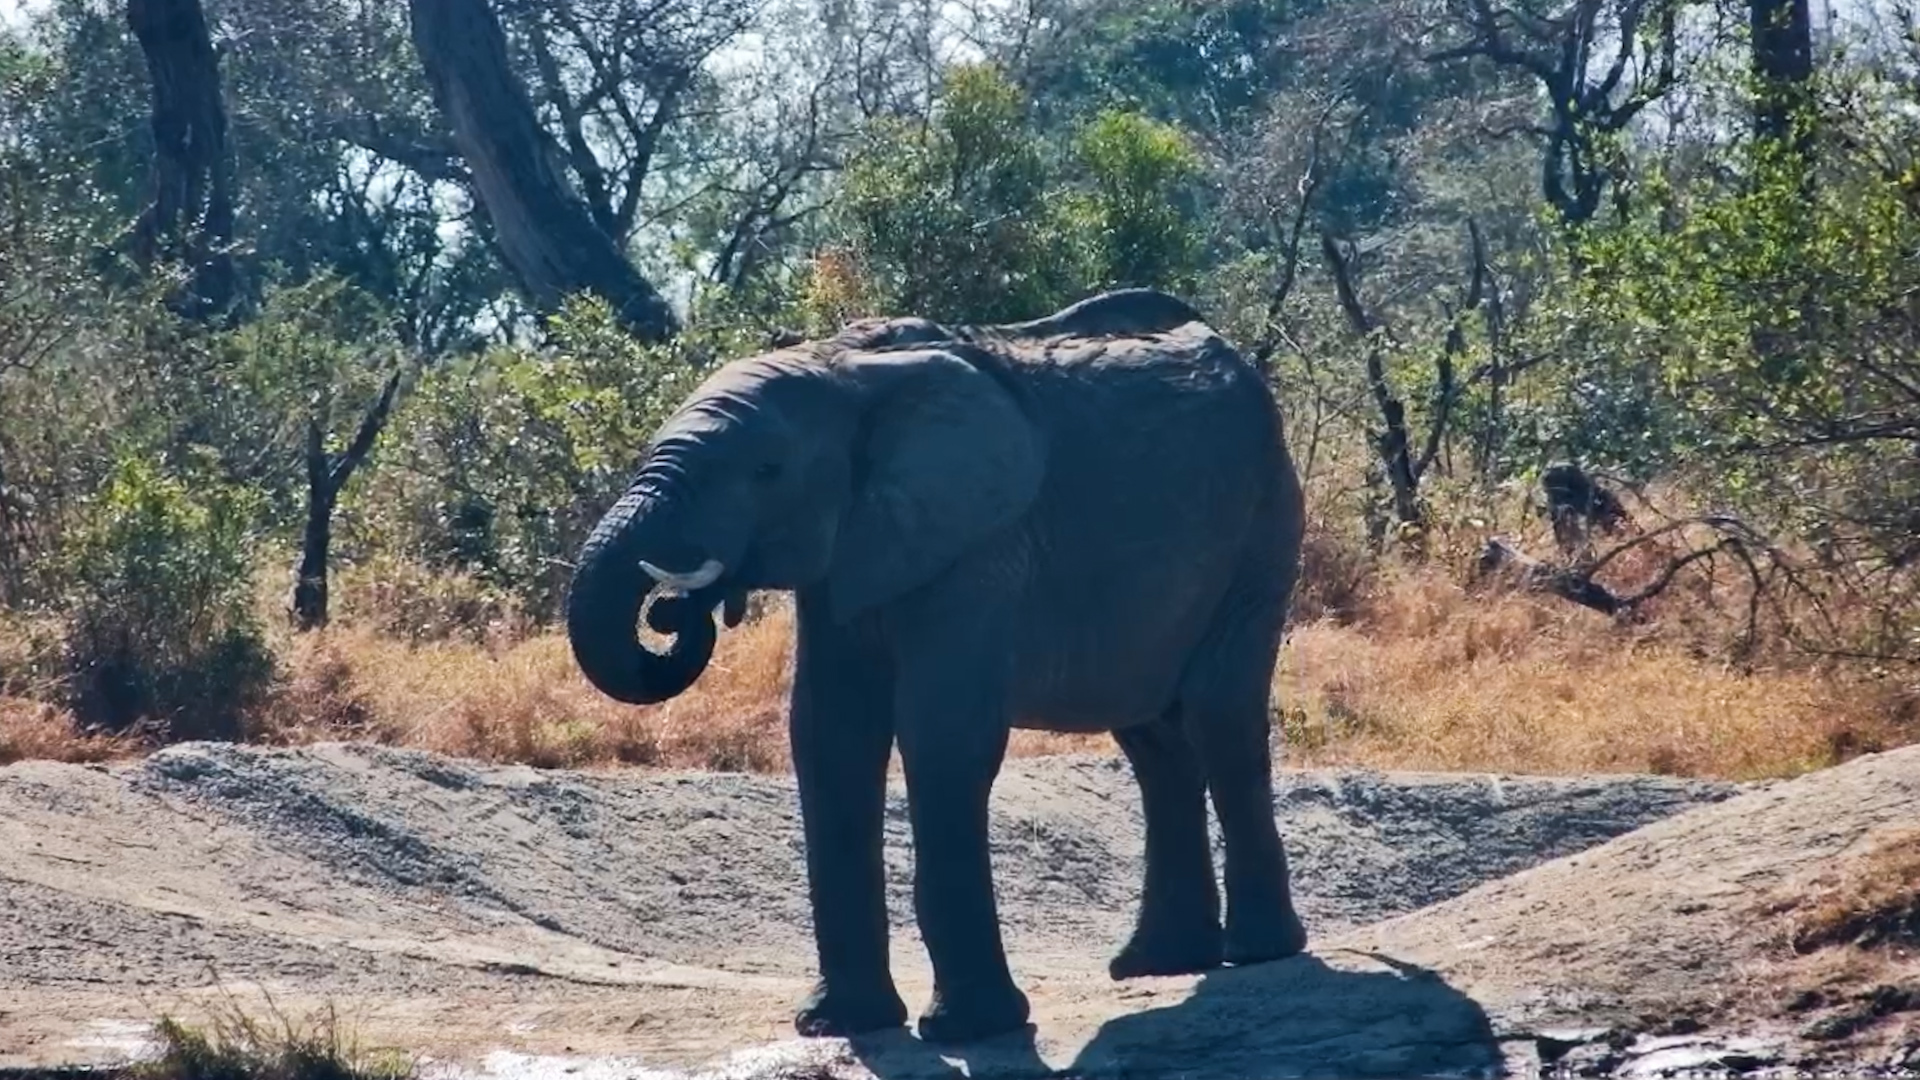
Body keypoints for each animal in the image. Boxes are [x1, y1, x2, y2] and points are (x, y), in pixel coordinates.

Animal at [565, 287, 1309, 1045]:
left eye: (766, 471)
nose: (674, 608)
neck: (837, 371)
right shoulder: (848, 555)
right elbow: (829, 735)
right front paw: (839, 1024)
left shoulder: (981, 542)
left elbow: (944, 736)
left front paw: (971, 1029)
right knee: (1151, 738)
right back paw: (1157, 962)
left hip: (1265, 525)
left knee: (1220, 718)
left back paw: (1258, 951)